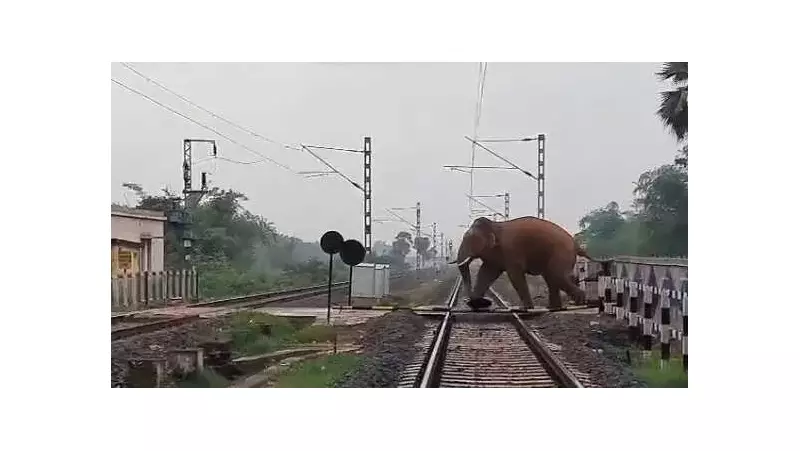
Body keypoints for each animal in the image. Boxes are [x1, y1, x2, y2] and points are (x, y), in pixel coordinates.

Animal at [451, 216, 596, 310]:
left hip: (562, 252)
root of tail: (576, 244)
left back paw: (580, 304)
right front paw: (476, 303)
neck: (495, 226)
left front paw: (525, 308)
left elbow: (514, 274)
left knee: (556, 275)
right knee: (551, 277)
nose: (469, 300)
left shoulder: (511, 249)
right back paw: (555, 308)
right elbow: (486, 273)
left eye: (468, 240)